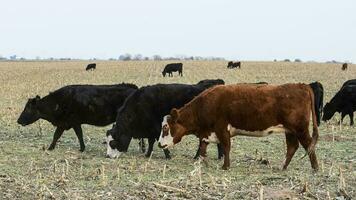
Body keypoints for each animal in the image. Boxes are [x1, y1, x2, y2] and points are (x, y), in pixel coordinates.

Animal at [159, 83, 320, 170]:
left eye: (165, 127)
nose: (160, 144)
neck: (204, 105)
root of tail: (302, 85)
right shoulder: (206, 133)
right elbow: (203, 148)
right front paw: (203, 163)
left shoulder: (222, 129)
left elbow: (226, 147)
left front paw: (225, 166)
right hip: (290, 130)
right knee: (292, 147)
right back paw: (283, 167)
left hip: (300, 129)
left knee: (308, 145)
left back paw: (315, 168)